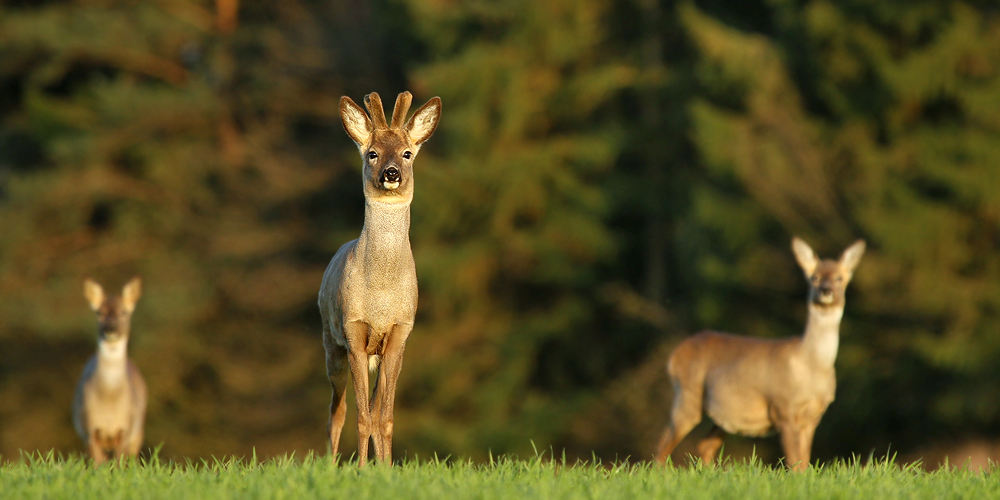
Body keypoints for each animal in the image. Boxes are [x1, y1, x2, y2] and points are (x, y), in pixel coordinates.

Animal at [72, 278, 147, 464]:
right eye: (99, 312)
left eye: (124, 312)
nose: (110, 328)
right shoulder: (89, 429)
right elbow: (97, 464)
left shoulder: (126, 429)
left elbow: (120, 462)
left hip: (139, 429)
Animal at [656, 236, 868, 470]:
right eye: (815, 277)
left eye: (839, 278)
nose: (826, 291)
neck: (812, 365)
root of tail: (674, 356)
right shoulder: (783, 408)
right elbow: (794, 463)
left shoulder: (812, 417)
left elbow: (804, 462)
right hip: (688, 394)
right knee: (662, 443)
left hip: (723, 415)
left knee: (704, 445)